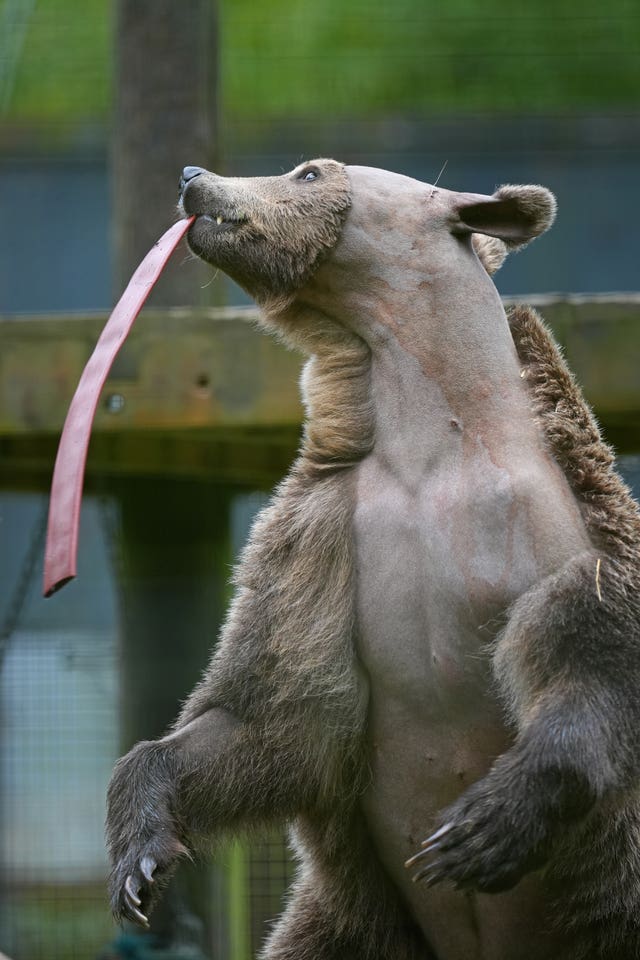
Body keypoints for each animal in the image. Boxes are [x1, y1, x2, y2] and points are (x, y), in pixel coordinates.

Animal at [105, 159, 640, 960]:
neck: (435, 445)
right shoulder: (322, 548)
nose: (194, 176)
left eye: (309, 170)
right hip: (360, 921)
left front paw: (482, 828)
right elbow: (268, 715)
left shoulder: (569, 537)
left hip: (607, 911)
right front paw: (140, 860)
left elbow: (591, 651)